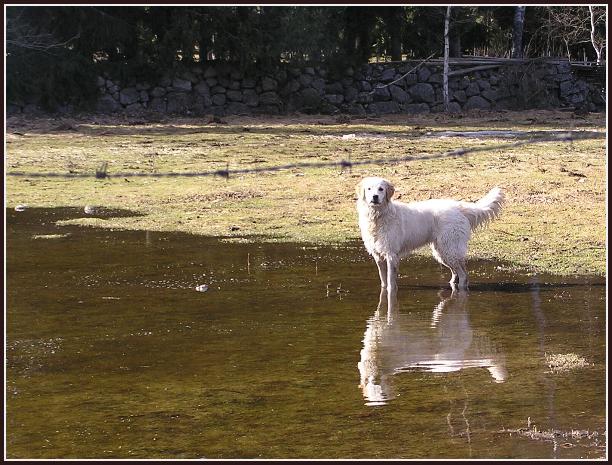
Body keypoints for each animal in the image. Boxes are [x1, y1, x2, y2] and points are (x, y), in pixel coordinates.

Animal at [356, 178, 504, 290]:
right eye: (369, 189)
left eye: (381, 189)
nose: (375, 197)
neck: (378, 217)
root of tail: (459, 208)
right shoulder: (378, 256)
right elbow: (383, 280)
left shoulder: (391, 254)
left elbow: (391, 282)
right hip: (442, 251)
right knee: (456, 271)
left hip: (449, 248)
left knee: (464, 275)